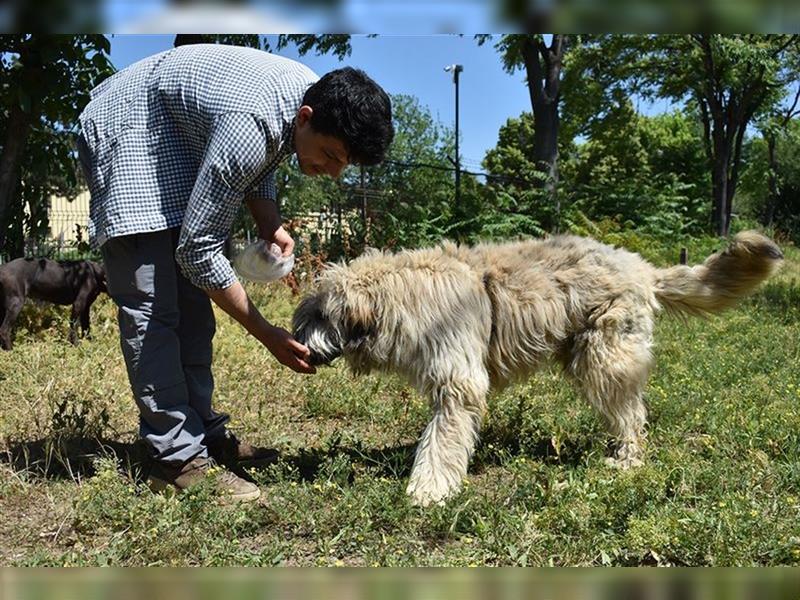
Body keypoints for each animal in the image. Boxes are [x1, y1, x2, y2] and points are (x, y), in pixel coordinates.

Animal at [292, 232, 780, 504]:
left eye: (319, 317)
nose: (298, 345)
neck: (401, 296)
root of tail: (641, 267)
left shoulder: (458, 382)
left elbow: (442, 441)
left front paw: (428, 490)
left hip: (604, 356)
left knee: (631, 413)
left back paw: (627, 457)